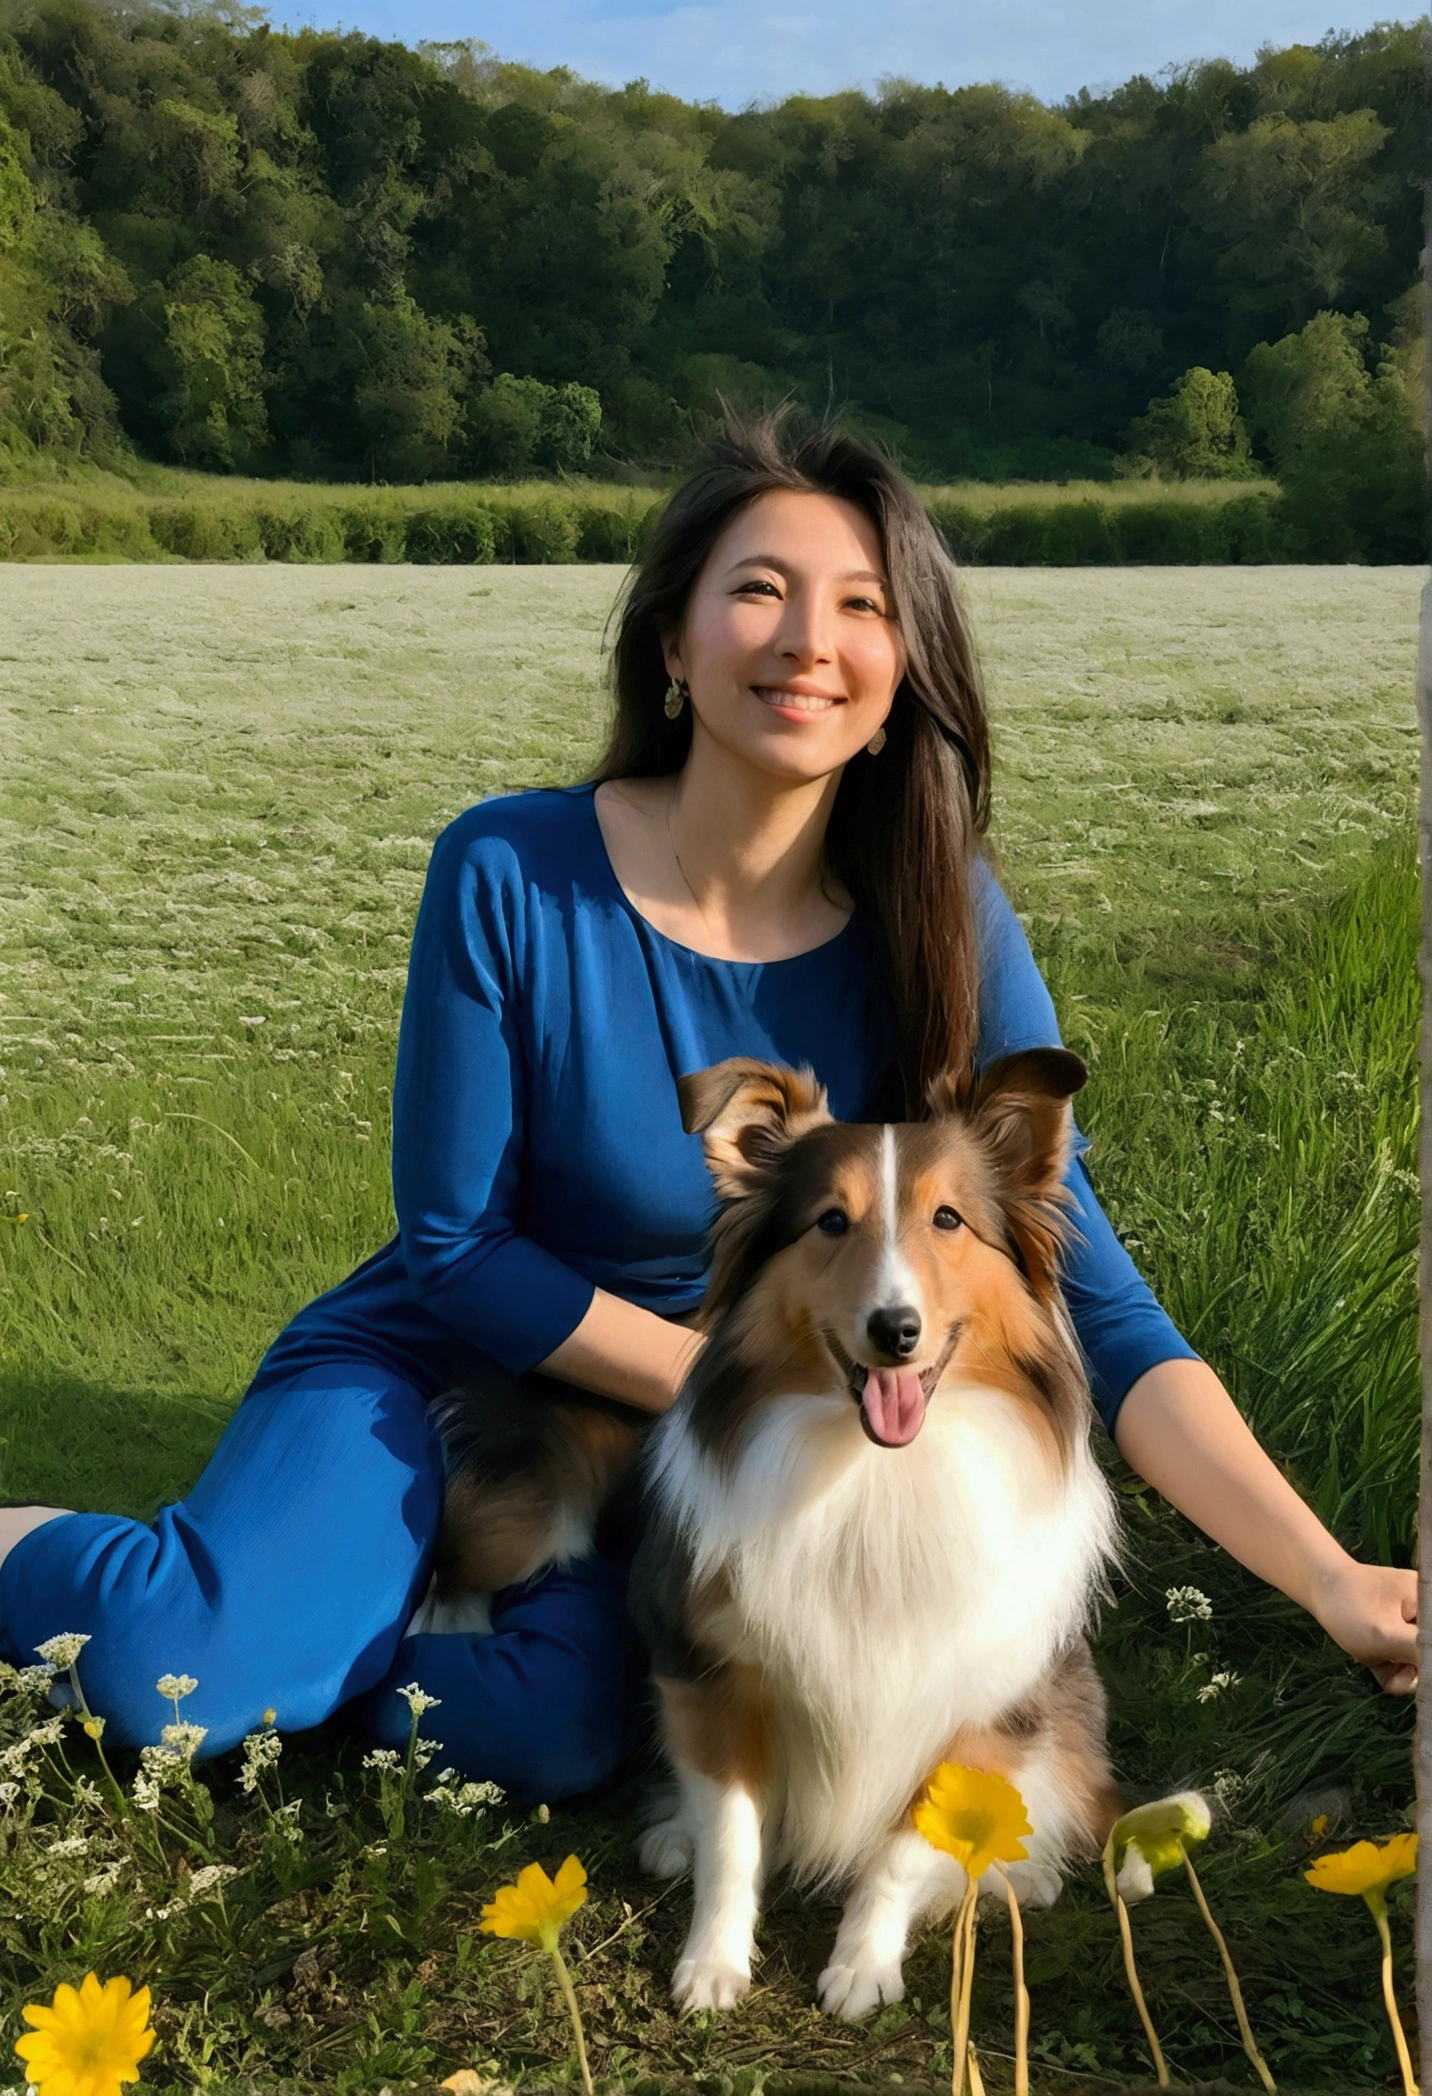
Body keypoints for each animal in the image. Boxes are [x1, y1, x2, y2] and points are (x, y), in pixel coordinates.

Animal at [431, 1048, 1123, 2012]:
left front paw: (864, 1964)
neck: (874, 1478)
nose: (895, 1330)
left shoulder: (977, 1699)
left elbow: (903, 1852)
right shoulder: (713, 1675)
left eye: (949, 1218)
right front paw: (714, 1964)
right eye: (831, 1221)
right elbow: (733, 1834)